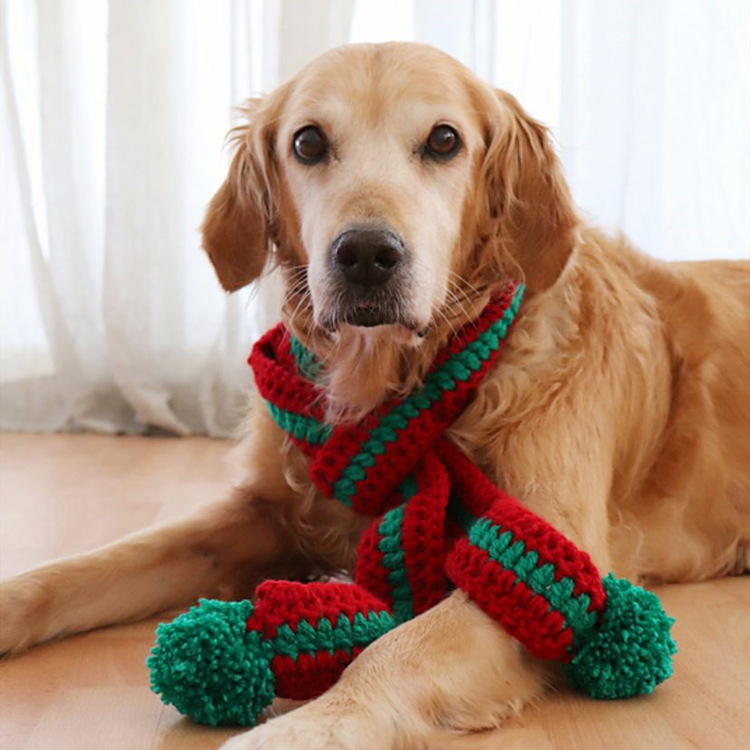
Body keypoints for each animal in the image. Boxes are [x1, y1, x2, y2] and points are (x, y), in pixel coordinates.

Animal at [1, 42, 748, 750]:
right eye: (308, 142)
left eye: (444, 140)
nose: (365, 255)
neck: (392, 387)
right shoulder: (259, 515)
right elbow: (91, 565)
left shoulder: (549, 561)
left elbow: (395, 651)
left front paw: (299, 731)